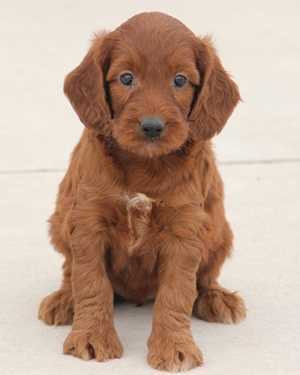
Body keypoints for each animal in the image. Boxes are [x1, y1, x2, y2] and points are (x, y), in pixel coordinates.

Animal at [38, 11, 246, 374]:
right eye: (126, 77)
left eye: (180, 80)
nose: (152, 127)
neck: (144, 164)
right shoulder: (88, 221)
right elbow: (90, 281)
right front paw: (92, 337)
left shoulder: (184, 229)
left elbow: (177, 293)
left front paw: (174, 346)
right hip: (60, 220)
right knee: (68, 269)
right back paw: (64, 299)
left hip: (220, 230)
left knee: (205, 278)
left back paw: (217, 298)